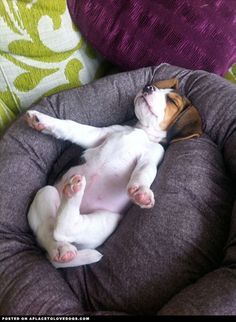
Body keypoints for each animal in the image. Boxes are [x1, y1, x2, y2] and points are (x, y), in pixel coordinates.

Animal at [24, 77, 202, 266]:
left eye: (172, 101)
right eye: (156, 87)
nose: (147, 87)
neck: (142, 132)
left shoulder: (152, 157)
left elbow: (144, 172)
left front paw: (141, 192)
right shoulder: (97, 135)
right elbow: (73, 126)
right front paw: (40, 119)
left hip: (108, 220)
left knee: (67, 228)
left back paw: (72, 196)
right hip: (47, 192)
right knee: (48, 231)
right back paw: (61, 247)